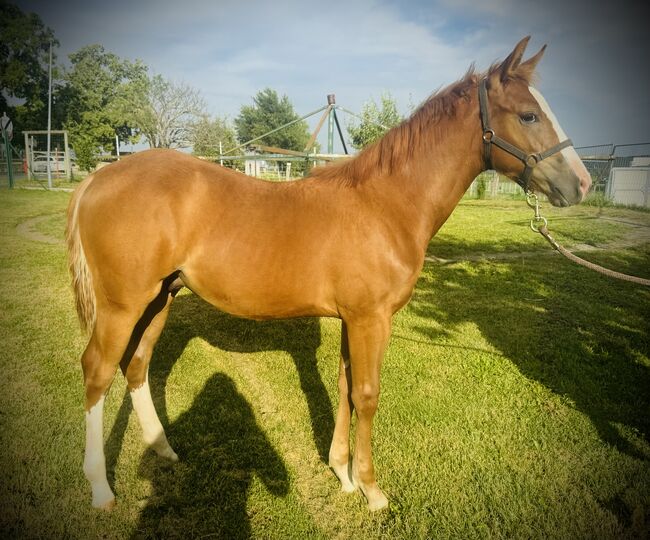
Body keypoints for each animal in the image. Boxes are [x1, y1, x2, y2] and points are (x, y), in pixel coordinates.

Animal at [67, 37, 592, 510]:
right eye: (528, 115)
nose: (581, 183)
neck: (385, 205)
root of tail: (99, 177)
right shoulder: (370, 320)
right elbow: (367, 393)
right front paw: (372, 489)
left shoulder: (350, 320)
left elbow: (344, 387)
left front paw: (342, 474)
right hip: (122, 306)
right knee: (97, 371)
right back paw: (100, 489)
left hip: (160, 298)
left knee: (137, 366)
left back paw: (163, 449)